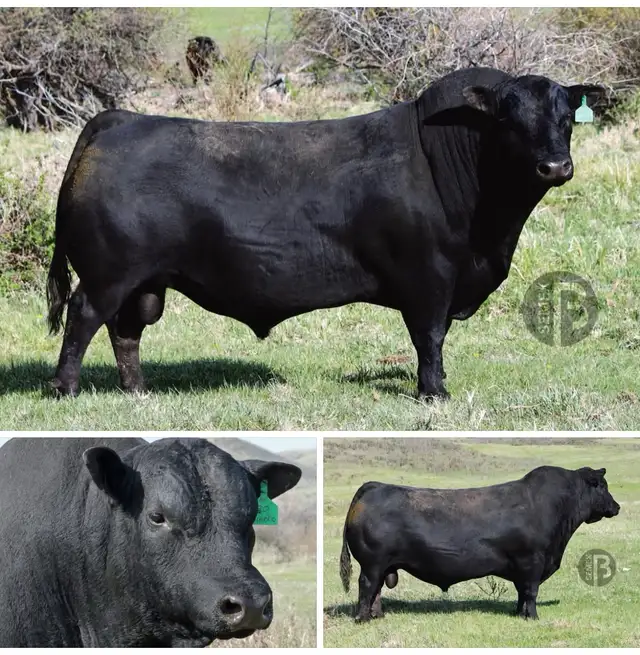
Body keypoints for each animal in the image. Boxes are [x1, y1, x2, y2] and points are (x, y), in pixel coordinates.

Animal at [45, 67, 603, 398]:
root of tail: (119, 119)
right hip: (108, 274)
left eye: (566, 119)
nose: (555, 166)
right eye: (510, 120)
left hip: (144, 282)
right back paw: (65, 387)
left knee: (126, 331)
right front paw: (434, 392)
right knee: (83, 317)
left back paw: (137, 391)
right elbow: (429, 337)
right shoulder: (428, 278)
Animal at [340, 466, 620, 622]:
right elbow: (531, 592)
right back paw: (363, 618)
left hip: (382, 565)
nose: (616, 507)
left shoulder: (523, 568)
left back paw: (378, 615)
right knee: (367, 586)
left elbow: (522, 593)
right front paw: (533, 617)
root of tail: (373, 486)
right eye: (602, 486)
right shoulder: (532, 562)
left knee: (376, 590)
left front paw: (519, 614)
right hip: (372, 563)